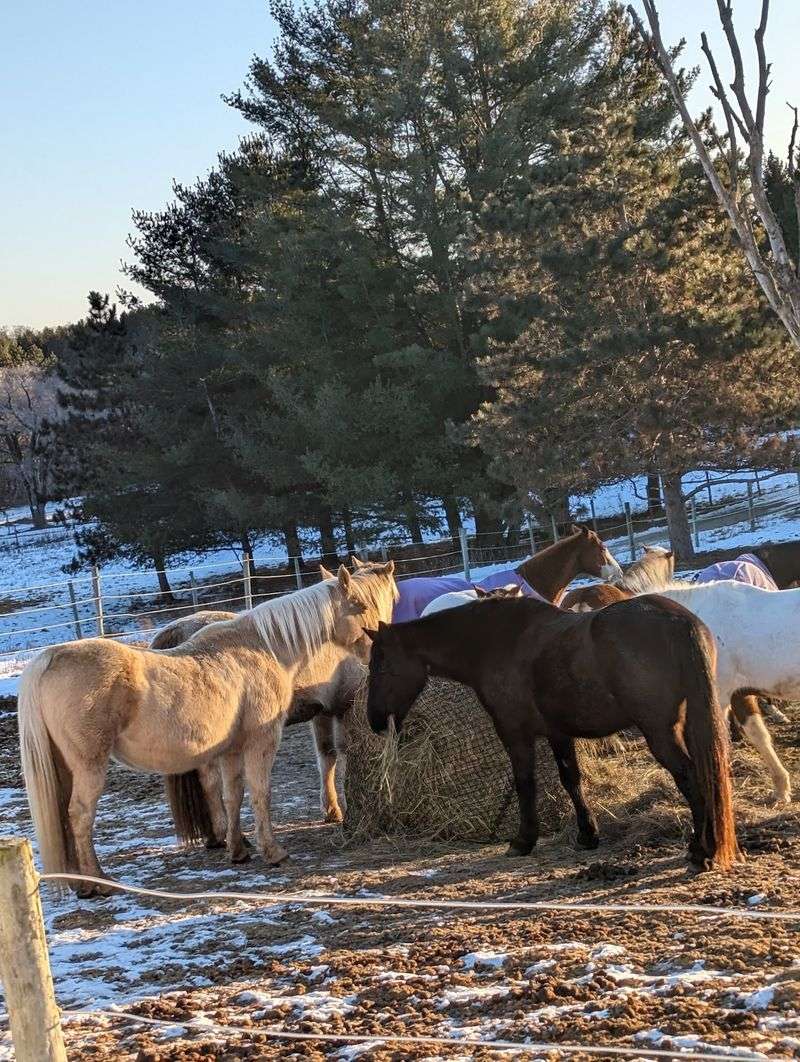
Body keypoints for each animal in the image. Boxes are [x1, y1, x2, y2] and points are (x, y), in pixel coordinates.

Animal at [18, 563, 396, 896]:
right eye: (363, 605)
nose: (378, 651)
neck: (264, 647)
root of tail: (48, 659)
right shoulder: (263, 741)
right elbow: (262, 792)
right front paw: (273, 852)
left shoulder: (231, 750)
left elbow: (232, 795)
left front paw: (238, 850)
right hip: (89, 767)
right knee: (80, 816)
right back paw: (98, 882)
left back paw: (82, 882)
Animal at [365, 596, 739, 871]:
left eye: (380, 666)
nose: (375, 721)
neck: (497, 642)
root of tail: (677, 620)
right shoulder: (558, 733)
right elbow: (570, 779)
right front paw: (587, 835)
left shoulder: (515, 734)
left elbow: (525, 783)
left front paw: (523, 840)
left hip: (660, 731)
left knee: (690, 776)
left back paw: (701, 850)